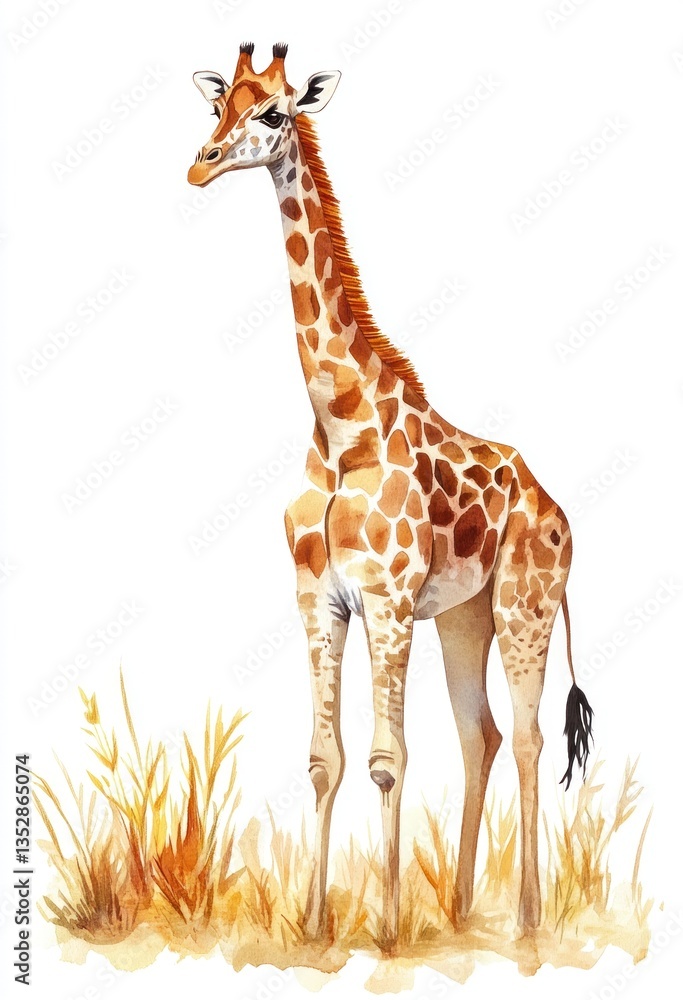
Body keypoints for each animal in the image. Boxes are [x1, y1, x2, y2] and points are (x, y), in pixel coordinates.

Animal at [188, 43, 594, 950]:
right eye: (215, 107)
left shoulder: (386, 598)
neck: (341, 427)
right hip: (464, 616)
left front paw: (383, 929)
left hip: (523, 606)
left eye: (272, 113)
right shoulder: (319, 598)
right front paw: (313, 926)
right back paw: (462, 909)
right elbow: (324, 760)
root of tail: (558, 514)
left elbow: (385, 760)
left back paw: (524, 921)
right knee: (480, 734)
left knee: (525, 736)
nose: (200, 164)